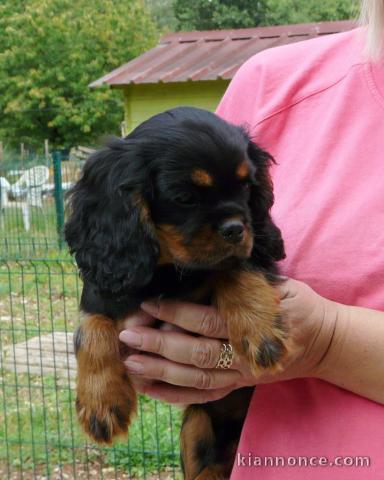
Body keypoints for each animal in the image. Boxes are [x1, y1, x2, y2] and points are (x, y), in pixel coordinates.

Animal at [65, 107, 288, 478]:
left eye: (246, 187)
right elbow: (90, 327)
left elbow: (235, 267)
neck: (171, 269)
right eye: (184, 198)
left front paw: (260, 330)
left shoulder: (250, 254)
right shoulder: (105, 284)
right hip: (196, 426)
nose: (236, 229)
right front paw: (101, 402)